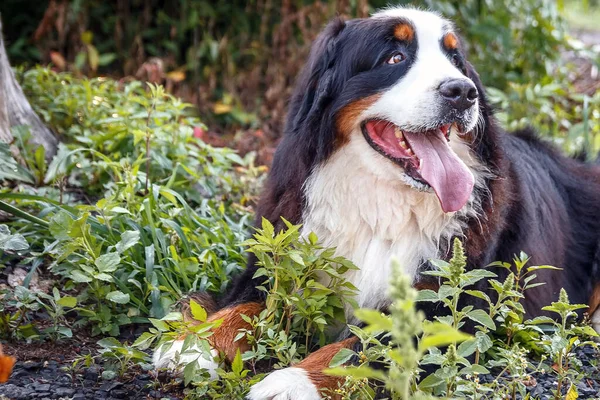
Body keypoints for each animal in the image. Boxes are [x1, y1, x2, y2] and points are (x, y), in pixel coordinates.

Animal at [154, 7, 600, 400]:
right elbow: (242, 305)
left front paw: (293, 382)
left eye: (455, 59)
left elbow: (363, 346)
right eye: (394, 57)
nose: (463, 91)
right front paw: (190, 346)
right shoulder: (282, 260)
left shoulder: (443, 305)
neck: (379, 204)